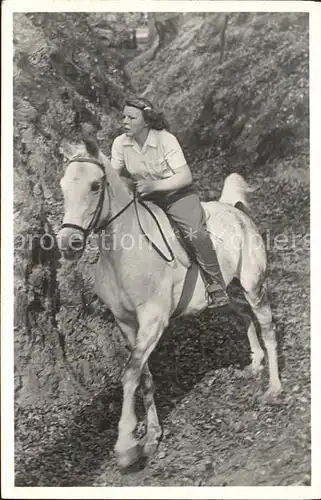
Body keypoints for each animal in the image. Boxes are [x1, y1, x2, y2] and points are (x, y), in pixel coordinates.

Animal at [57, 136, 280, 468]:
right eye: (62, 186)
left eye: (95, 185)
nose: (67, 243)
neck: (123, 253)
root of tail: (233, 210)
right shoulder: (127, 324)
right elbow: (144, 377)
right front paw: (152, 435)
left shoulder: (153, 321)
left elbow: (130, 373)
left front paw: (126, 445)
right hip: (225, 295)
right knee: (242, 314)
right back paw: (255, 361)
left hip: (253, 285)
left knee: (267, 326)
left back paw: (274, 387)